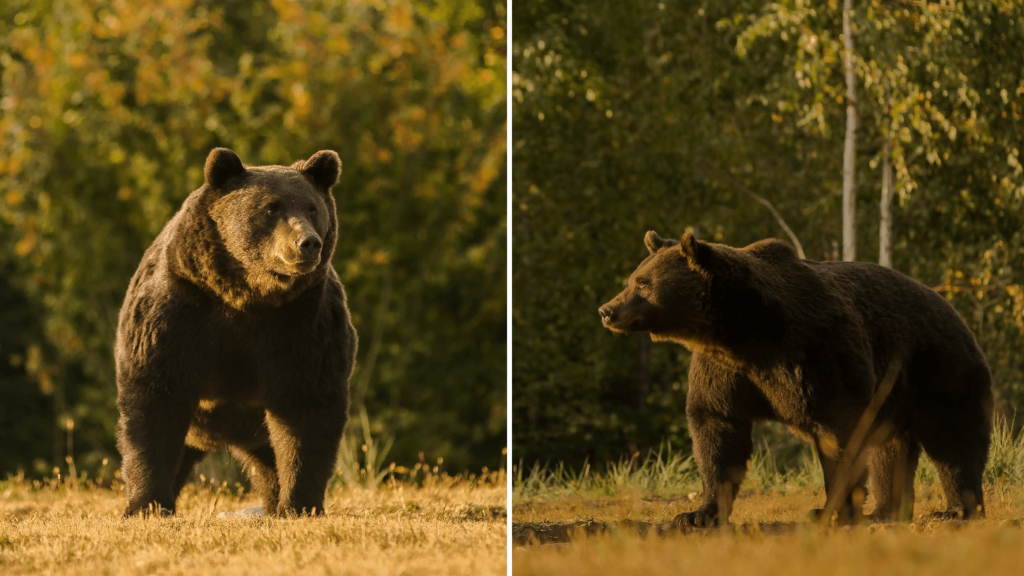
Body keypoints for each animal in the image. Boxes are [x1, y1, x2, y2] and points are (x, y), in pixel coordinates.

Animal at [113, 146, 356, 516]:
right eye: (271, 207)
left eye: (312, 208)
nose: (308, 243)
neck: (246, 295)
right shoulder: (177, 313)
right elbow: (154, 400)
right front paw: (146, 504)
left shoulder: (303, 324)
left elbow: (307, 408)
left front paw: (299, 503)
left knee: (269, 462)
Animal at [598, 230, 991, 522]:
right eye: (633, 279)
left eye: (643, 284)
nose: (607, 309)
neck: (745, 332)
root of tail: (951, 308)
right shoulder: (724, 370)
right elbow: (717, 428)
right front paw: (698, 513)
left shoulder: (815, 353)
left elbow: (839, 433)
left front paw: (831, 509)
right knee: (891, 449)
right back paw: (885, 510)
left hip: (938, 369)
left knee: (953, 439)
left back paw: (957, 509)